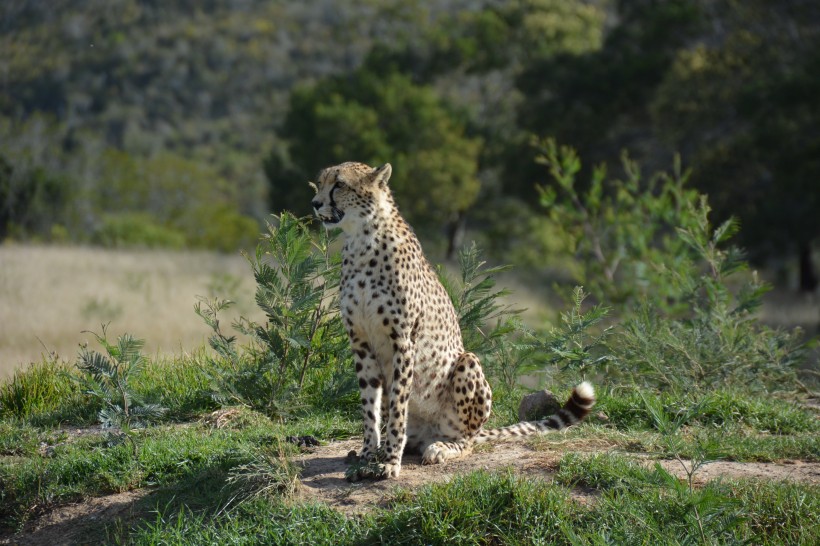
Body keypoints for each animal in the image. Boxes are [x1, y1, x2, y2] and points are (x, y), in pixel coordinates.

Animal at [310, 160, 592, 476]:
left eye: (339, 185)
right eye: (320, 183)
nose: (315, 203)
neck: (361, 239)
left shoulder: (402, 341)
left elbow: (397, 406)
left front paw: (391, 461)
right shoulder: (360, 342)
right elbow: (370, 406)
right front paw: (370, 453)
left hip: (467, 363)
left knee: (466, 441)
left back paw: (441, 448)